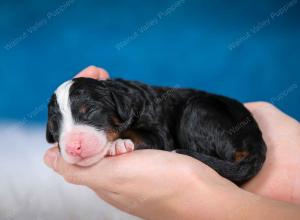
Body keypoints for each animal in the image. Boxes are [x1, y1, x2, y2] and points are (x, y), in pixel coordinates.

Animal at [45, 77, 266, 184]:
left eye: (90, 111)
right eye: (55, 125)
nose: (73, 147)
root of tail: (255, 138)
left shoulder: (160, 135)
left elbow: (139, 135)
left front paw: (118, 144)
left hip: (197, 109)